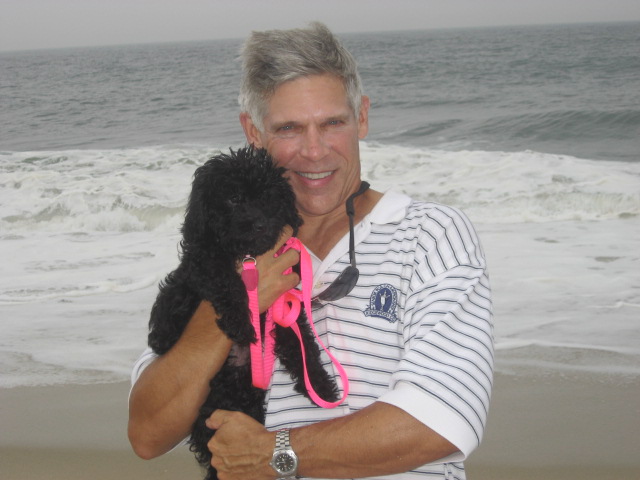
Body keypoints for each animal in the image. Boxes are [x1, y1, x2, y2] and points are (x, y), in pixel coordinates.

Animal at [147, 146, 338, 480]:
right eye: (234, 199)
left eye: (268, 197)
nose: (260, 225)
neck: (249, 255)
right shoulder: (204, 260)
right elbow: (224, 280)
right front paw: (239, 321)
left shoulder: (284, 308)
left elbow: (303, 346)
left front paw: (320, 386)